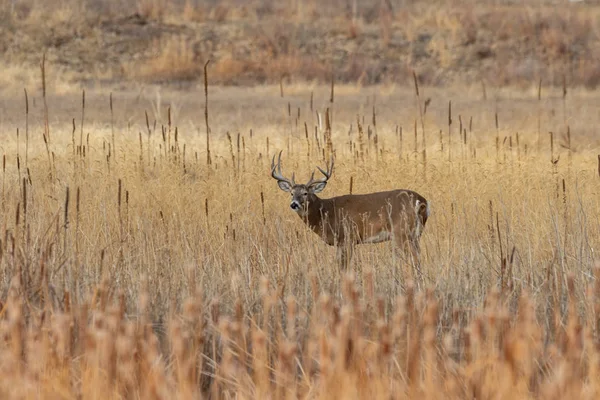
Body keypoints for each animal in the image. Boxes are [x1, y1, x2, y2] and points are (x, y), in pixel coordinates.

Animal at [270, 152, 428, 282]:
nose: (294, 204)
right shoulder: (341, 242)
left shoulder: (348, 237)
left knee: (415, 258)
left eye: (305, 193)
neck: (326, 212)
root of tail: (421, 201)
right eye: (291, 193)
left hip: (401, 232)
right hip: (415, 235)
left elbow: (344, 267)